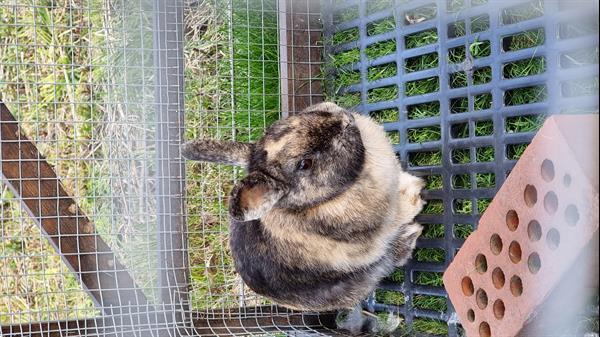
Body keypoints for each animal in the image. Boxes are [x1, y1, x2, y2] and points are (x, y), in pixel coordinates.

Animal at [180, 102, 424, 316]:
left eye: (289, 122)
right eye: (305, 164)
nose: (345, 120)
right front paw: (418, 192)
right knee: (392, 259)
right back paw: (410, 234)